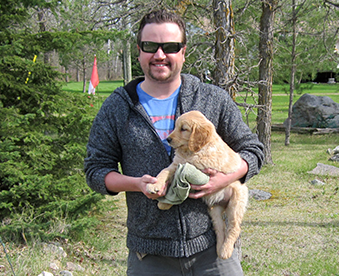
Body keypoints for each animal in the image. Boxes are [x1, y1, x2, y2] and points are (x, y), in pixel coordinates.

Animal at [147, 110, 250, 258]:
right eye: (175, 126)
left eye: (183, 129)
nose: (168, 139)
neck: (191, 151)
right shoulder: (176, 164)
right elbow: (164, 172)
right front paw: (155, 187)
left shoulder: (197, 169)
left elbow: (178, 186)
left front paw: (165, 201)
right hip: (214, 210)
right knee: (220, 229)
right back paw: (220, 248)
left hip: (235, 204)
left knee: (234, 227)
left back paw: (226, 250)